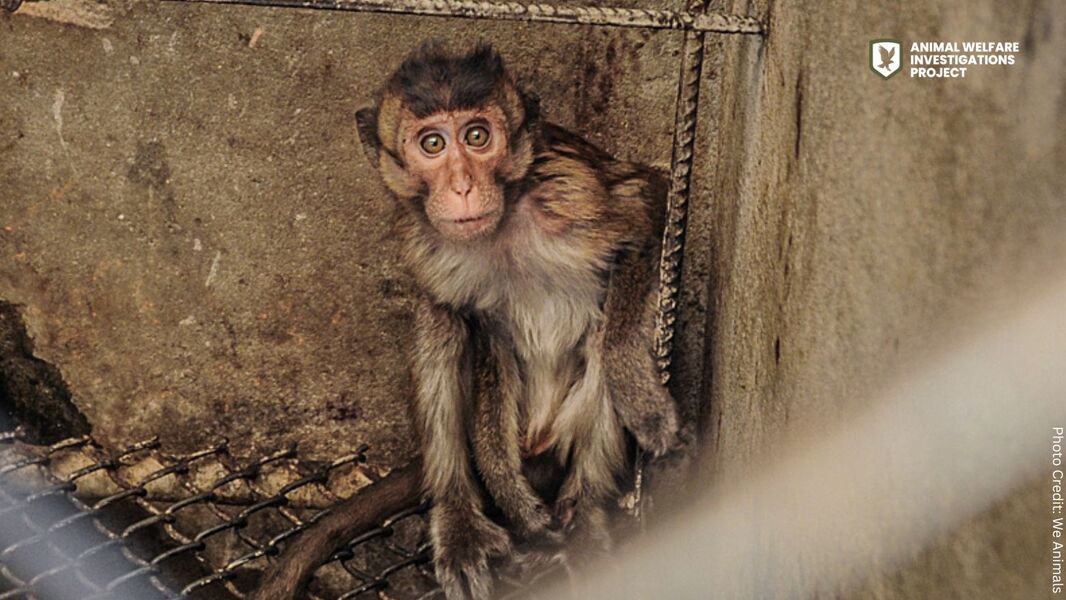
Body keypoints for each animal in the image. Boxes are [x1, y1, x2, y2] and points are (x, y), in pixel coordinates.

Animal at [253, 41, 684, 600]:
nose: (461, 186)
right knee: (439, 324)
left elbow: (648, 209)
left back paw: (585, 513)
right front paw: (510, 499)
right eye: (432, 144)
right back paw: (459, 515)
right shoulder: (426, 244)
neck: (507, 220)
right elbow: (472, 326)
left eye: (478, 136)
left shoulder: (575, 189)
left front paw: (643, 403)